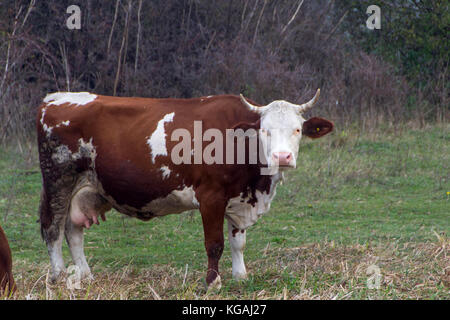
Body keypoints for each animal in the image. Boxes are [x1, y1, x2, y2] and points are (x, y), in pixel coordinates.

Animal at [37, 89, 334, 288]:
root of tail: (53, 98)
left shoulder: (238, 199)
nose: (282, 157)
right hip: (58, 181)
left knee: (73, 230)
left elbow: (238, 242)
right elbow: (214, 244)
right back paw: (58, 276)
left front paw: (241, 275)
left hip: (86, 188)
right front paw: (213, 282)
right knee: (52, 228)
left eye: (298, 129)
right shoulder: (211, 196)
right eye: (265, 131)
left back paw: (86, 275)